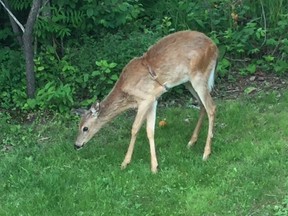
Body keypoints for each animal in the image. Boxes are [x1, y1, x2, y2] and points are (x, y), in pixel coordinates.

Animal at [73, 30, 218, 174]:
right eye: (78, 125)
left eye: (85, 128)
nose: (76, 145)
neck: (126, 94)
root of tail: (215, 47)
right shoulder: (153, 99)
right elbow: (150, 130)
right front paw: (155, 166)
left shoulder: (145, 99)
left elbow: (135, 128)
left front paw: (125, 163)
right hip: (188, 82)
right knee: (202, 105)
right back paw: (191, 142)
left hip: (199, 76)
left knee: (211, 107)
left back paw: (206, 153)